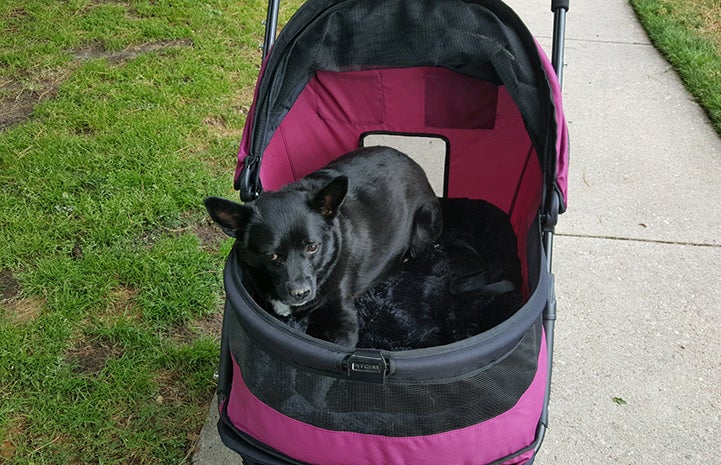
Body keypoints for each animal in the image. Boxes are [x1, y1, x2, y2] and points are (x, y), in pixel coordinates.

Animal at [202, 147, 438, 346]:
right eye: (272, 256)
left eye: (312, 247)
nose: (301, 293)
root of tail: (413, 164)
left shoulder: (343, 324)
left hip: (423, 230)